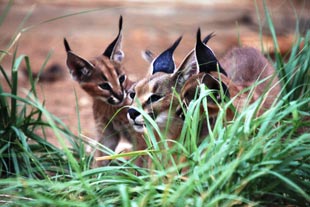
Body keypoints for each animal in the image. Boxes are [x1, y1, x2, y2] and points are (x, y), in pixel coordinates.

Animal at [64, 15, 142, 165]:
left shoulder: (141, 134)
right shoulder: (106, 132)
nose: (120, 95)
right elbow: (101, 156)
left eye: (121, 78)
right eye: (104, 86)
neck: (109, 108)